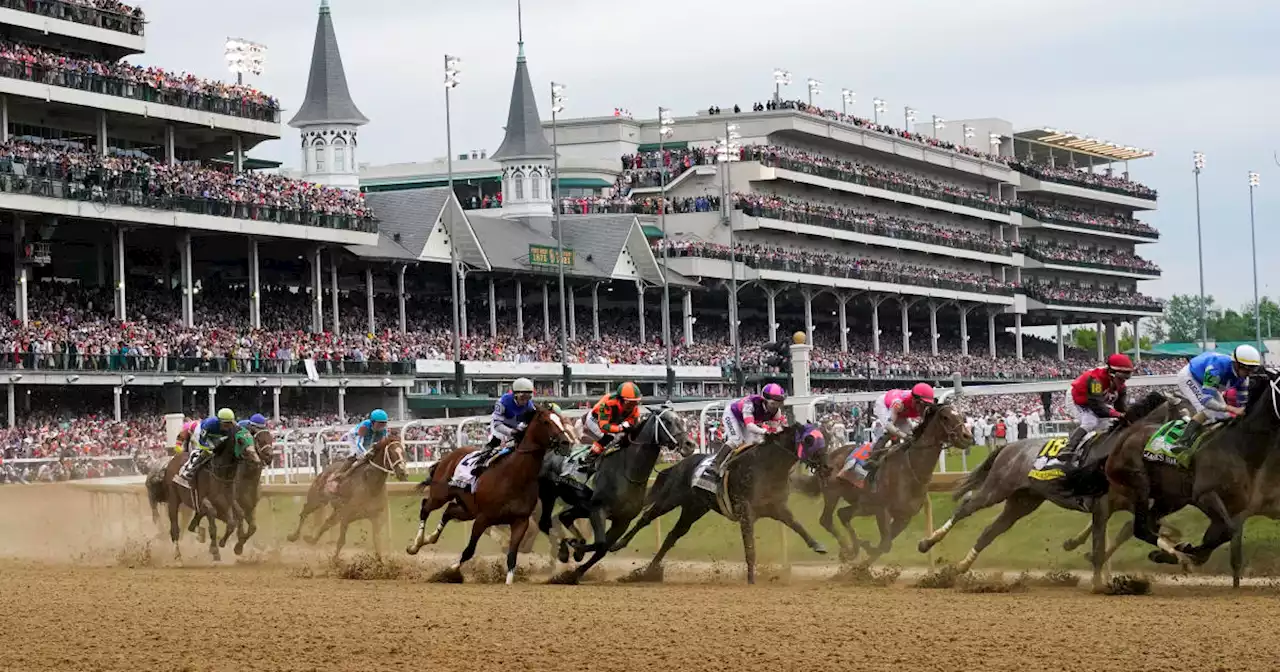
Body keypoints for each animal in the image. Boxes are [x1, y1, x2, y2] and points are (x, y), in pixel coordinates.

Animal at [404, 404, 576, 581]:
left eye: (561, 420)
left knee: (449, 511)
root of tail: (447, 456)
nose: (565, 443)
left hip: (468, 509)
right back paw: (415, 545)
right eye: (546, 422)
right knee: (426, 508)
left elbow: (512, 557)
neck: (514, 476)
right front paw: (450, 572)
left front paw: (509, 582)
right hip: (441, 495)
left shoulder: (520, 521)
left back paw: (430, 538)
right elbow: (469, 550)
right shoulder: (483, 518)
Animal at [540, 404, 701, 581]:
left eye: (681, 421)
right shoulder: (598, 510)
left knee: (563, 517)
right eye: (667, 421)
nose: (690, 444)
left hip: (581, 506)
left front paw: (574, 570)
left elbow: (602, 549)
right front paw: (576, 549)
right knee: (545, 522)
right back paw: (563, 550)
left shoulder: (622, 520)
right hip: (549, 495)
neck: (628, 472)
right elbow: (600, 543)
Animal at [611, 422, 829, 583]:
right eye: (809, 439)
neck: (767, 465)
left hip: (694, 509)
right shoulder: (745, 510)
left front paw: (818, 545)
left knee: (672, 536)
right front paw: (751, 579)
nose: (826, 465)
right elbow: (750, 547)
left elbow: (797, 525)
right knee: (646, 518)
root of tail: (679, 464)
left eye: (824, 438)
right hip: (670, 498)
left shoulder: (777, 507)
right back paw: (618, 545)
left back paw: (649, 572)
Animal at [803, 401, 972, 563]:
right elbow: (884, 544)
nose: (967, 436)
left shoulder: (904, 517)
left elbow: (883, 546)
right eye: (945, 417)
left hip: (862, 505)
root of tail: (829, 456)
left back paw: (852, 550)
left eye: (961, 416)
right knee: (826, 520)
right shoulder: (882, 509)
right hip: (833, 493)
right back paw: (848, 550)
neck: (910, 469)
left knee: (843, 514)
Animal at [916, 389, 1172, 588]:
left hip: (1024, 500)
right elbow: (1101, 541)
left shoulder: (1131, 501)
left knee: (990, 531)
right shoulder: (1101, 504)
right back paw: (927, 543)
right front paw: (1098, 583)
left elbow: (1133, 529)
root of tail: (1010, 447)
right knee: (965, 508)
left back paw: (959, 568)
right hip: (997, 488)